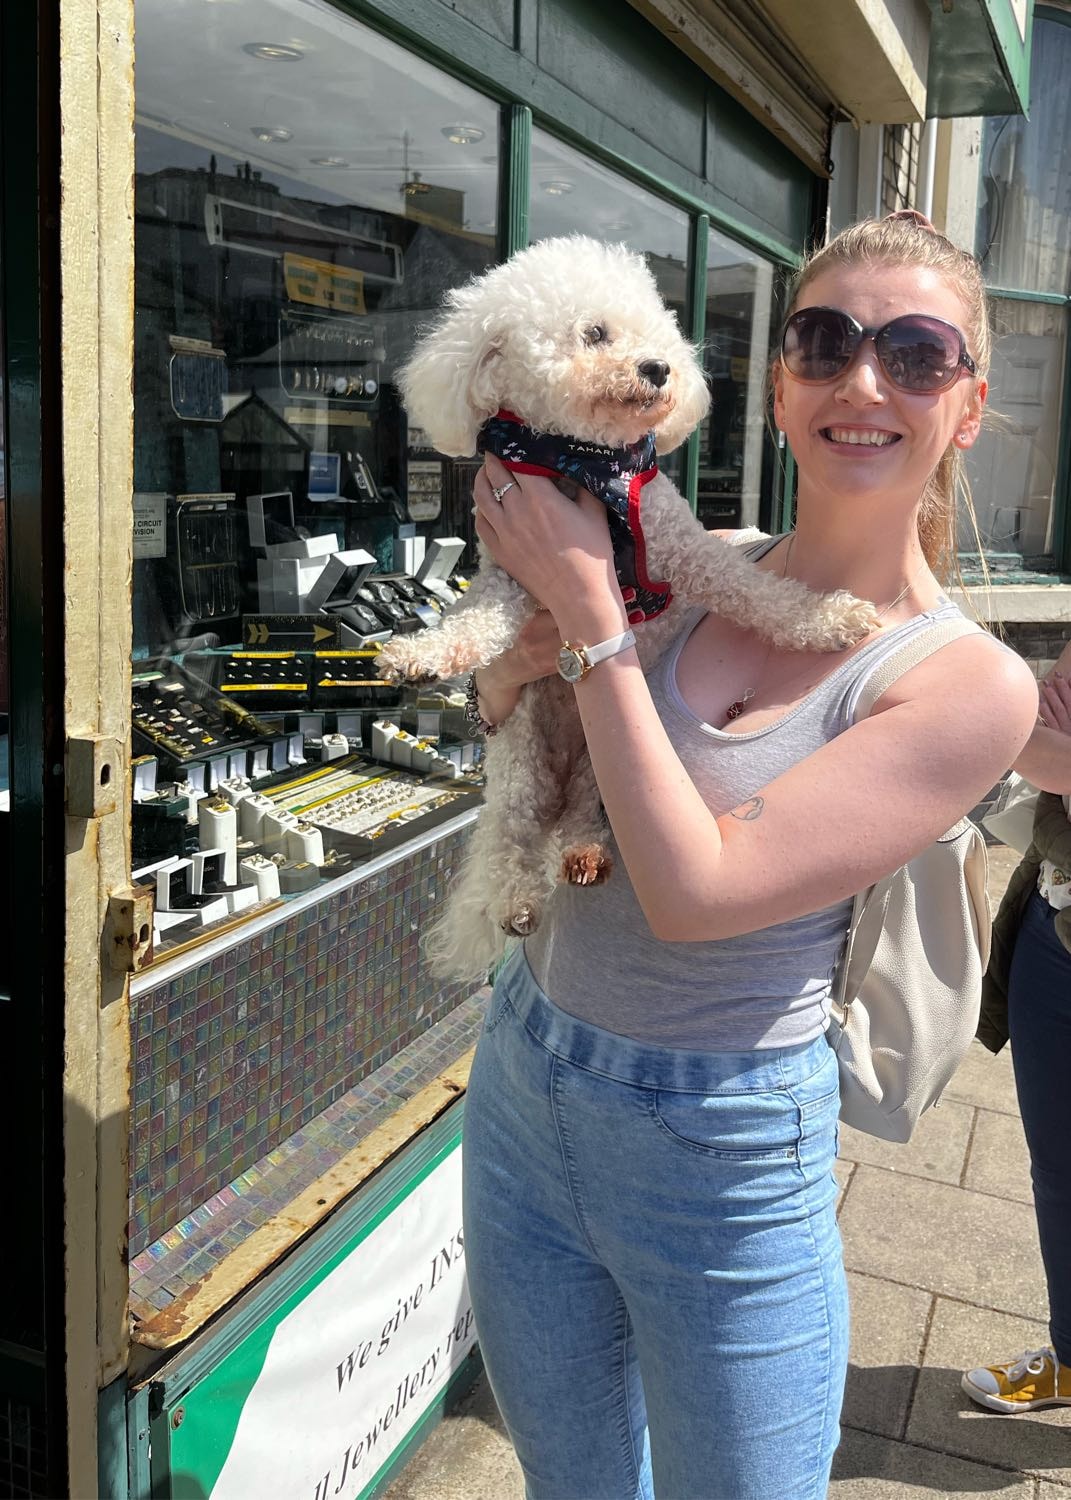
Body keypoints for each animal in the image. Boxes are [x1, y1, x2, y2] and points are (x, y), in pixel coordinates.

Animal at [378, 235, 878, 980]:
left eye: (656, 331)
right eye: (594, 334)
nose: (658, 368)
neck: (585, 468)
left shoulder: (685, 549)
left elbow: (759, 592)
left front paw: (832, 618)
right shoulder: (509, 579)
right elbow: (475, 621)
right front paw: (419, 654)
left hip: (596, 767)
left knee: (583, 815)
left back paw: (584, 852)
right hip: (520, 757)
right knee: (513, 834)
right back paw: (516, 898)